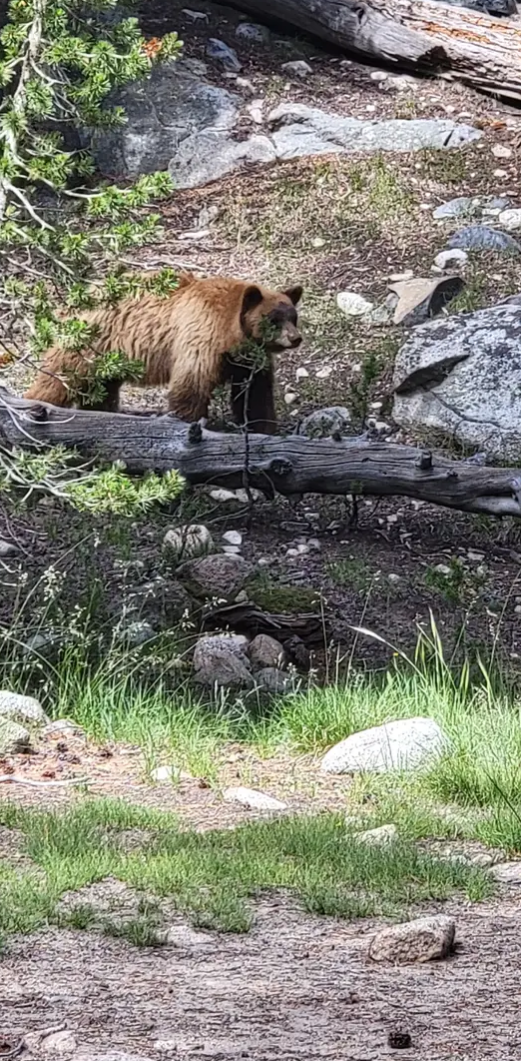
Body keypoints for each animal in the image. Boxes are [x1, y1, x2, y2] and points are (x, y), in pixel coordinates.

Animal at [23, 272, 303, 434]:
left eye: (293, 316)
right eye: (273, 319)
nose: (295, 338)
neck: (233, 335)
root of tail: (76, 297)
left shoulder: (246, 360)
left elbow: (255, 393)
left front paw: (265, 429)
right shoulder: (201, 339)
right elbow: (190, 387)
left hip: (108, 360)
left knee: (101, 390)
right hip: (91, 342)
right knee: (60, 377)